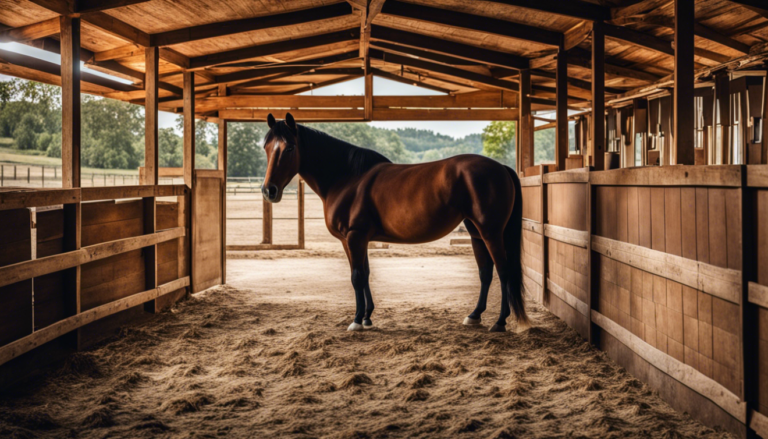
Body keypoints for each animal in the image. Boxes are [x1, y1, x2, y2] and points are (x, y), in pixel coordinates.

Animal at [260, 113, 524, 334]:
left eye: (290, 147)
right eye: (266, 147)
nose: (269, 190)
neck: (347, 178)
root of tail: (501, 167)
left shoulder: (354, 237)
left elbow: (356, 276)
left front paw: (356, 321)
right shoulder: (356, 240)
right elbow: (365, 274)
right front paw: (367, 317)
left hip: (491, 233)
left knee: (503, 270)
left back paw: (500, 322)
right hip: (476, 233)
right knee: (485, 272)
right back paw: (474, 315)